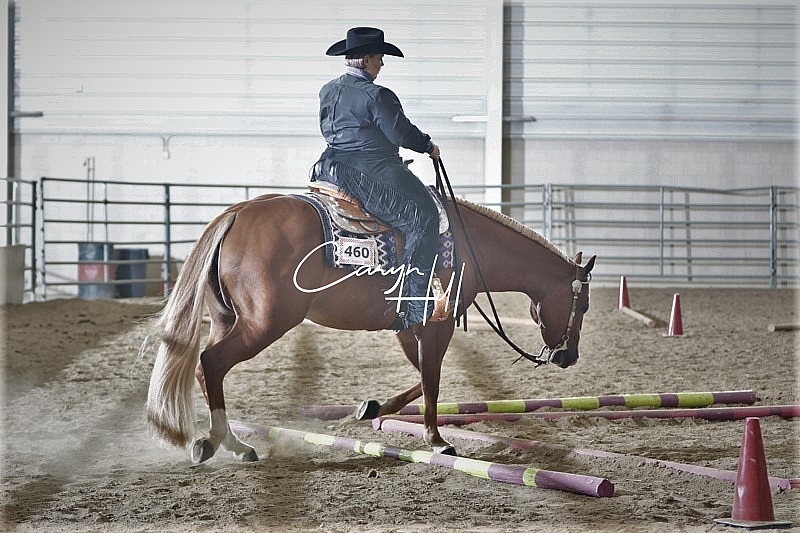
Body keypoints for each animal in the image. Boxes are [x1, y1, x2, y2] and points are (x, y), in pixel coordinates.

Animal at [145, 190, 595, 463]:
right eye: (584, 304)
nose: (569, 356)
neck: (471, 245)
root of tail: (236, 215)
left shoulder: (408, 326)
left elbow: (421, 377)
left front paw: (374, 408)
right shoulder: (437, 325)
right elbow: (432, 380)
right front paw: (437, 441)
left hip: (227, 320)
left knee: (205, 369)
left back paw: (229, 443)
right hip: (263, 324)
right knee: (211, 363)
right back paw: (224, 443)